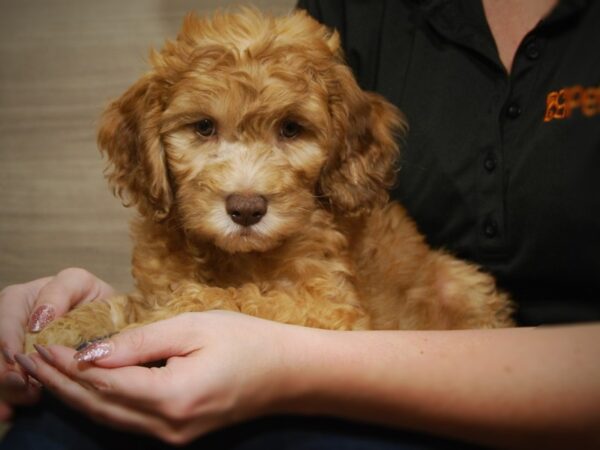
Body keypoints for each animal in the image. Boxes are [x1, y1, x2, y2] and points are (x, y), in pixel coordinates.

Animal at [24, 7, 510, 352]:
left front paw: (174, 312)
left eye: (291, 129)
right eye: (204, 127)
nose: (246, 209)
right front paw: (58, 328)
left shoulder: (332, 310)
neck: (235, 258)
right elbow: (130, 303)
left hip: (460, 283)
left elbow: (241, 300)